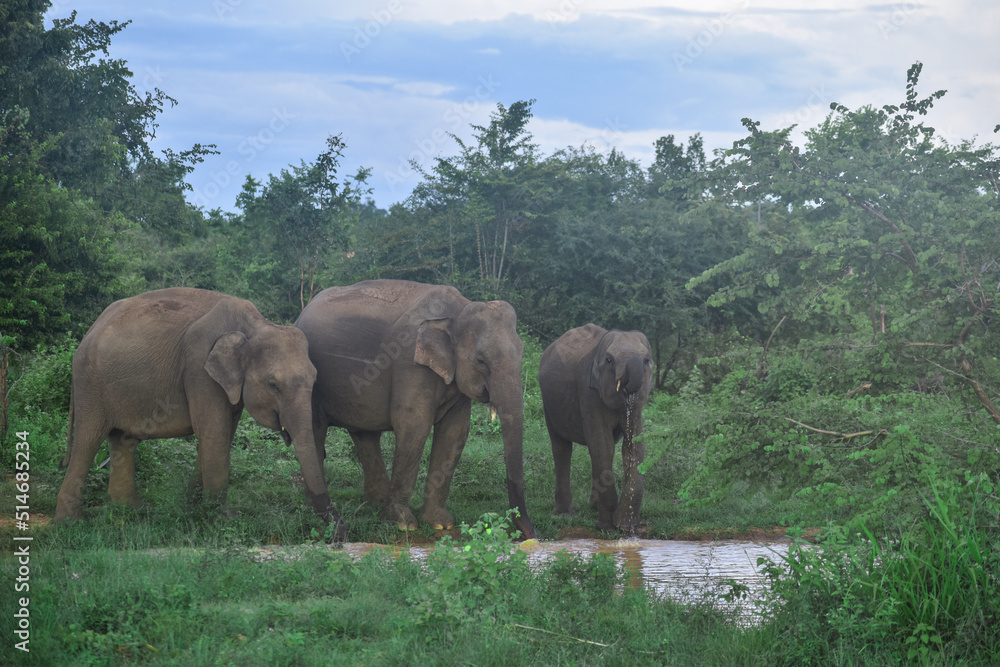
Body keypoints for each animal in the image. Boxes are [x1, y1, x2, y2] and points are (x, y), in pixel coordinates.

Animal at [55, 287, 344, 539]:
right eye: (273, 385)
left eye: (315, 378)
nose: (338, 535)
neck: (255, 325)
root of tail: (88, 333)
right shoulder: (199, 368)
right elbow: (214, 433)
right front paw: (222, 520)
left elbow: (222, 435)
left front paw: (192, 508)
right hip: (90, 386)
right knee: (87, 442)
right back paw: (70, 524)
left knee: (123, 442)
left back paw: (132, 511)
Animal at [294, 279, 537, 539]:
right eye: (481, 361)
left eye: (522, 352)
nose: (532, 534)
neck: (459, 309)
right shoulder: (409, 363)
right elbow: (414, 427)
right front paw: (403, 524)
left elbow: (455, 433)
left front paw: (440, 524)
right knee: (316, 431)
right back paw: (315, 508)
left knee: (364, 436)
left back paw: (375, 504)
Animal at [538, 324, 653, 534]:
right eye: (609, 360)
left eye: (647, 360)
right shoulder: (589, 391)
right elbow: (603, 445)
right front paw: (607, 528)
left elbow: (633, 447)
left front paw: (626, 527)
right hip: (548, 404)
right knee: (562, 449)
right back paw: (564, 514)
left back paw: (592, 507)